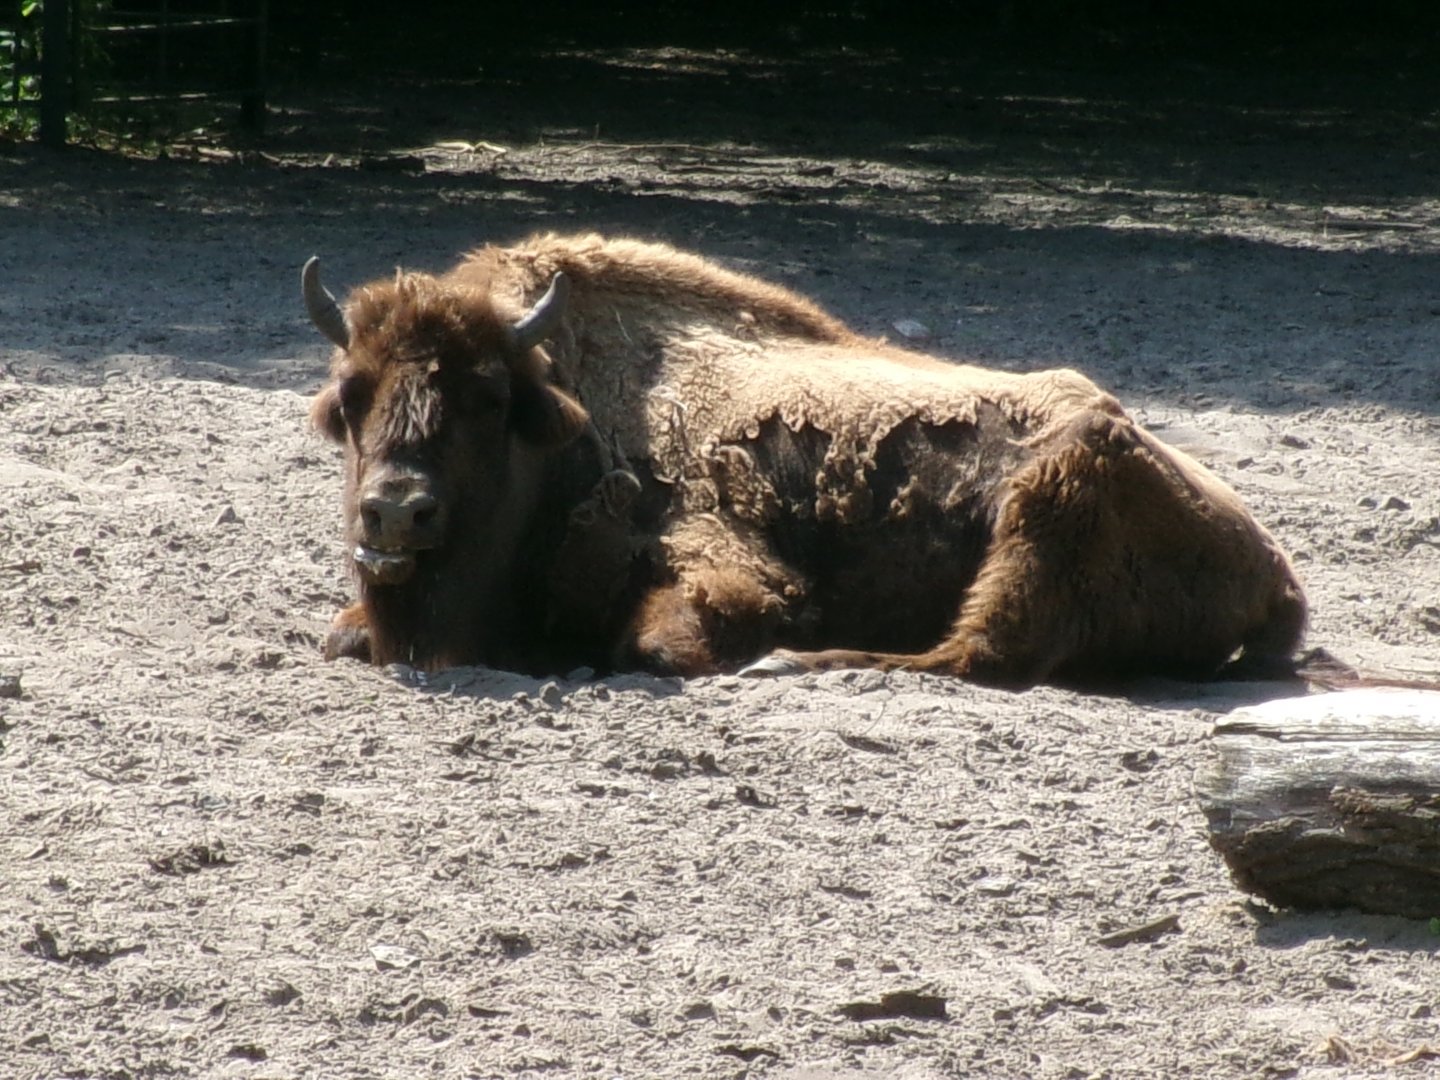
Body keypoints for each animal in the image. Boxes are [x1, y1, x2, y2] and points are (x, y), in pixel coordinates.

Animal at [303, 233, 1306, 687]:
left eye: (485, 397)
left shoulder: (730, 578)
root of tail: (1275, 565)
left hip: (1059, 495)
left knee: (973, 653)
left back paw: (790, 663)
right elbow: (342, 634)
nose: (394, 512)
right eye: (351, 393)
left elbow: (661, 644)